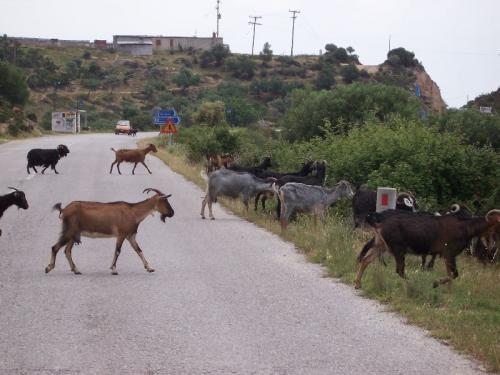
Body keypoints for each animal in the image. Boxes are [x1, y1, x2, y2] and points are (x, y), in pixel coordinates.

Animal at [46, 189, 174, 274]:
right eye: (165, 201)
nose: (172, 213)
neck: (133, 212)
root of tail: (64, 209)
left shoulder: (130, 236)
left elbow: (139, 250)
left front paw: (150, 268)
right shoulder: (121, 234)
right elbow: (117, 251)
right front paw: (114, 269)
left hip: (74, 233)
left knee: (67, 250)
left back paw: (76, 270)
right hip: (70, 230)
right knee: (55, 247)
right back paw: (49, 268)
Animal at [356, 210, 500, 290]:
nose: (494, 247)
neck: (466, 227)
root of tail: (379, 218)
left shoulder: (447, 255)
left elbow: (451, 275)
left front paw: (449, 295)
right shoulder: (449, 253)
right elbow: (454, 274)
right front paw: (435, 284)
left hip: (381, 244)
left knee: (365, 260)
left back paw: (357, 283)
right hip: (398, 247)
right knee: (400, 270)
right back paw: (413, 284)